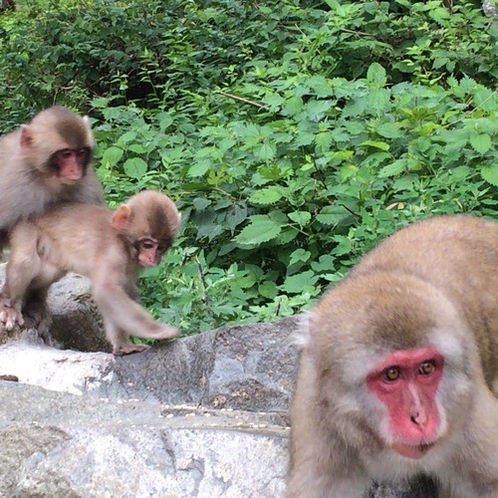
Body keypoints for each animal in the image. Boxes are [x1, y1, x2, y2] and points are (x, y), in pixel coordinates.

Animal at [0, 188, 181, 354]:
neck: (123, 241)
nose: (152, 258)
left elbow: (126, 291)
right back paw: (10, 306)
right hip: (25, 225)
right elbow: (106, 290)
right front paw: (157, 331)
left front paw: (124, 345)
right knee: (26, 260)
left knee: (52, 270)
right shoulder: (112, 253)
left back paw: (34, 304)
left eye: (160, 247)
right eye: (148, 244)